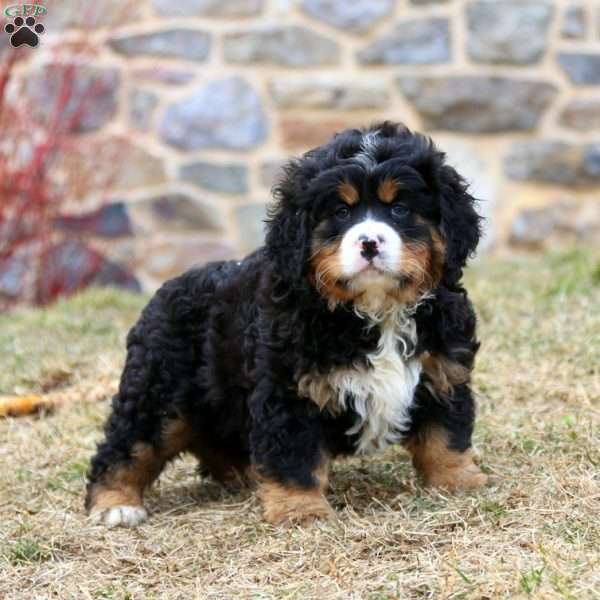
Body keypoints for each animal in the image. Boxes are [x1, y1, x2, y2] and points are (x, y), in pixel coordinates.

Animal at [85, 120, 488, 524]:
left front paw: (459, 482)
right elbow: (295, 455)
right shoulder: (288, 391)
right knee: (127, 445)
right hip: (160, 389)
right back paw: (115, 504)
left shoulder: (443, 372)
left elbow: (445, 436)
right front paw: (300, 509)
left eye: (401, 209)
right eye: (341, 212)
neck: (376, 309)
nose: (369, 243)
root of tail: (168, 286)